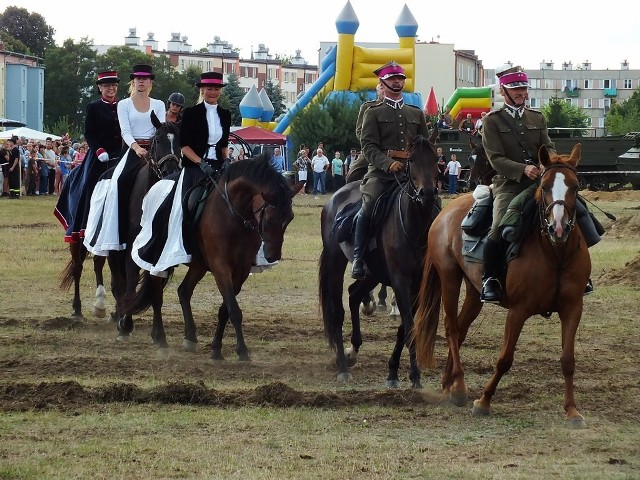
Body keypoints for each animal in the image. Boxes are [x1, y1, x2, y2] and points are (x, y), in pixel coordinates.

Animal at [127, 156, 304, 358]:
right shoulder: (221, 267)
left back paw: (189, 338)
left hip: (198, 264)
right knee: (157, 294)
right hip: (162, 258)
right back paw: (161, 340)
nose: (273, 255)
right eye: (268, 220)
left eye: (290, 218)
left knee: (183, 291)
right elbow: (233, 309)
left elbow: (225, 310)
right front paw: (241, 351)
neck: (234, 214)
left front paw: (217, 348)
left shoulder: (241, 270)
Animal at [318, 133, 440, 388]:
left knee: (354, 294)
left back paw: (353, 350)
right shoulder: (401, 281)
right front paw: (415, 376)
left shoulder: (416, 284)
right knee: (336, 311)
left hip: (373, 272)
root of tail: (335, 197)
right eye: (411, 159)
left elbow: (405, 328)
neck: (415, 226)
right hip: (335, 261)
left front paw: (393, 372)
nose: (427, 193)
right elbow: (410, 327)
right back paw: (343, 366)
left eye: (436, 158)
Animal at [410, 144, 592, 426]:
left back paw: (448, 384)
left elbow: (568, 360)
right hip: (449, 279)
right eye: (544, 186)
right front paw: (484, 401)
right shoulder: (518, 311)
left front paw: (572, 411)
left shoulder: (573, 308)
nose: (558, 227)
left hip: (474, 291)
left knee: (461, 329)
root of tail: (446, 211)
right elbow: (505, 359)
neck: (554, 253)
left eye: (574, 185)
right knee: (451, 328)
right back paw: (459, 388)